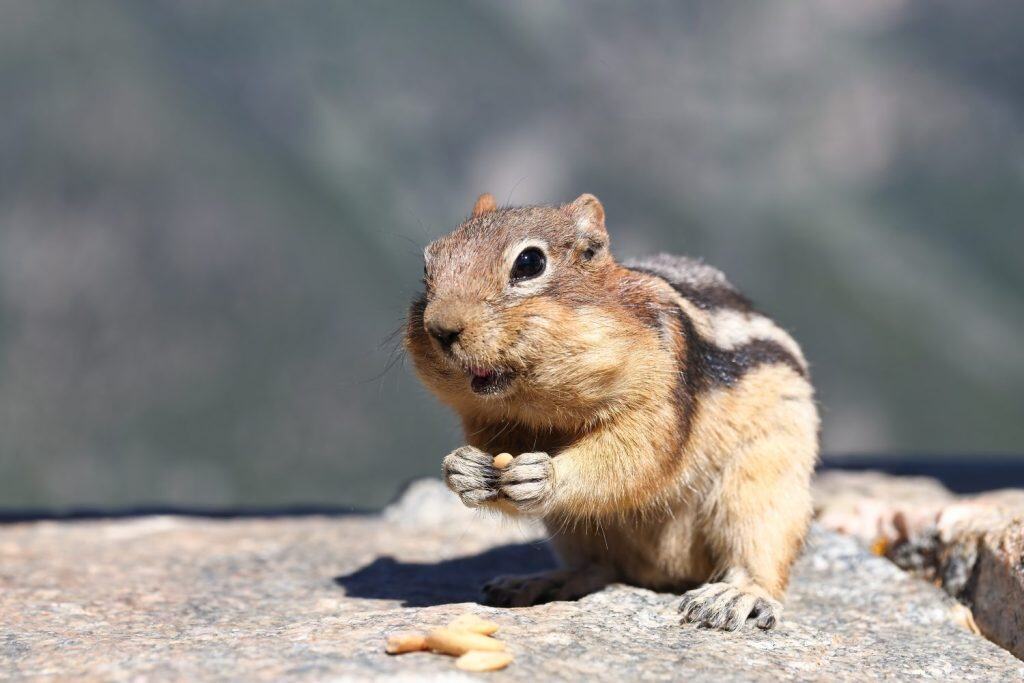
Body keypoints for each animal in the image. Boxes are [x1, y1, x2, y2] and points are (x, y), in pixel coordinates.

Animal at [405, 192, 819, 630]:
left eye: (530, 263)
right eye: (428, 265)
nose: (441, 329)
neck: (540, 406)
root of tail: (664, 571)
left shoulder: (659, 397)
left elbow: (634, 457)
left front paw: (545, 475)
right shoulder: (490, 421)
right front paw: (462, 469)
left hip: (763, 482)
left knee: (759, 548)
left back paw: (736, 596)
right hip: (574, 530)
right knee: (597, 568)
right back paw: (540, 581)